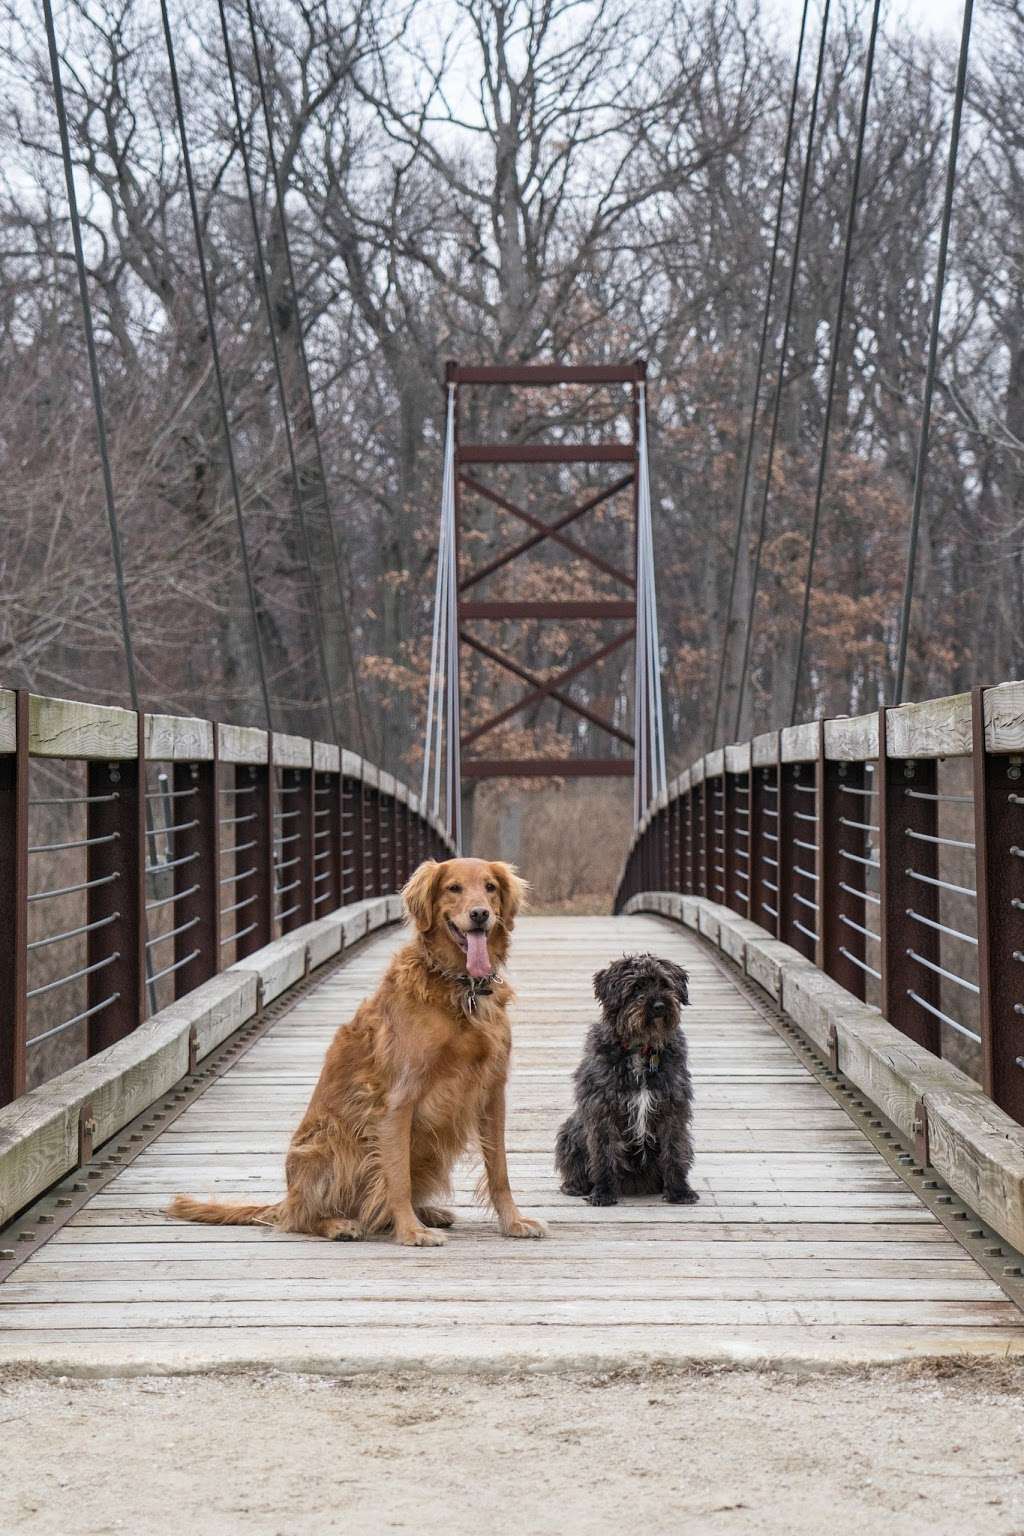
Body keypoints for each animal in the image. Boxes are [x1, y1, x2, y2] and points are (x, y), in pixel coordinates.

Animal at [555, 952, 700, 1204]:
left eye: (664, 983)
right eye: (636, 987)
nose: (659, 1006)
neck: (641, 1048)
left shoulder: (673, 1108)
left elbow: (674, 1151)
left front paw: (679, 1191)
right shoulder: (602, 1110)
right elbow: (604, 1154)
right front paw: (603, 1192)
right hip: (570, 1131)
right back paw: (576, 1186)